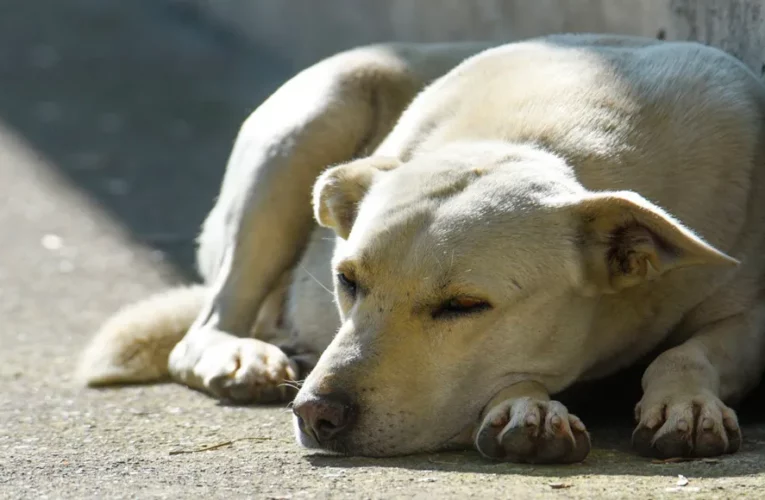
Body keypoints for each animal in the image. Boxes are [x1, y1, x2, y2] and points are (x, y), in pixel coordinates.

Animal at [77, 34, 764, 464]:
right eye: (347, 280)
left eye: (464, 306)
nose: (316, 413)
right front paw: (529, 409)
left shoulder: (751, 314)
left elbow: (686, 352)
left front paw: (686, 405)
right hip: (310, 119)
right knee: (206, 325)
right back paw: (241, 354)